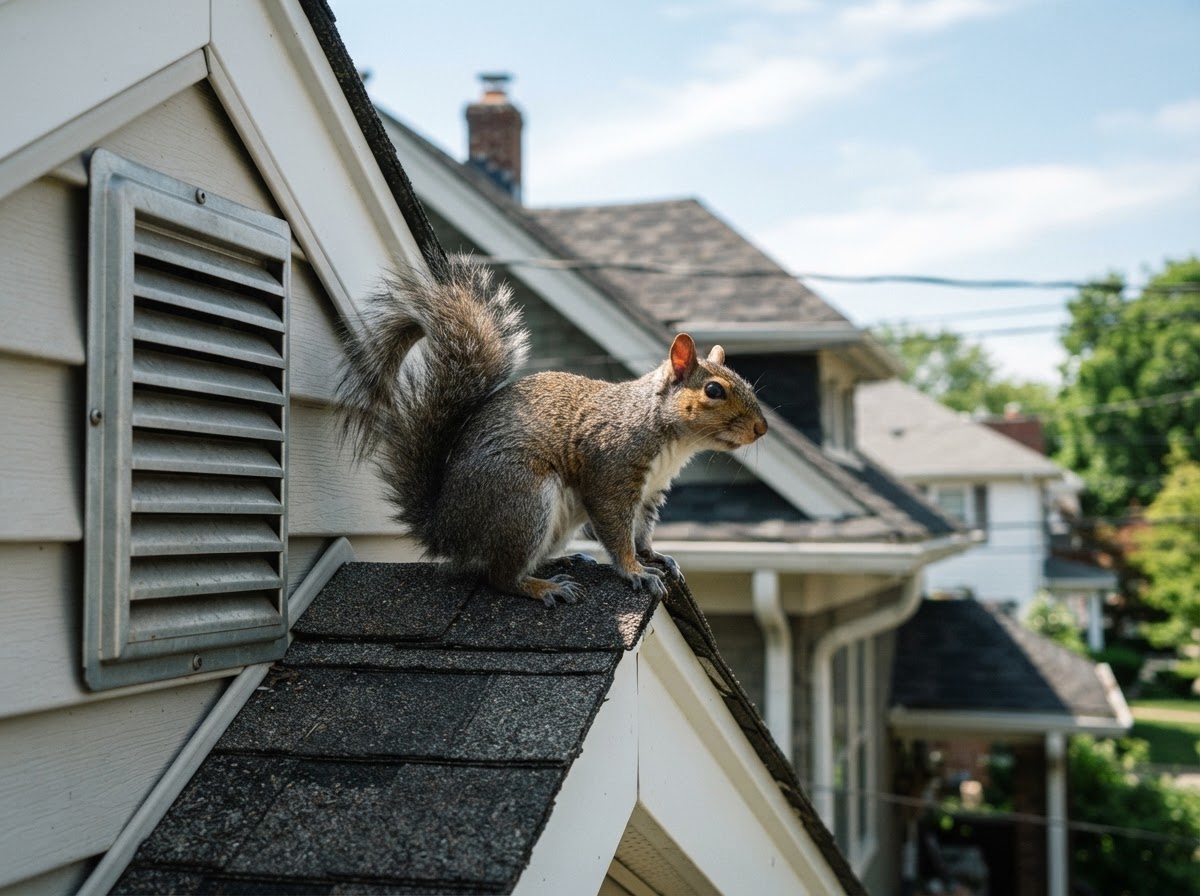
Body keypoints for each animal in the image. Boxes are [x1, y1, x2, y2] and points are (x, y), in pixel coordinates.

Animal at [336, 256, 768, 607]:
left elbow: (641, 532)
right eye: (714, 390)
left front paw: (654, 556)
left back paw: (562, 559)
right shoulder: (611, 472)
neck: (668, 436)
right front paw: (635, 571)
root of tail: (446, 529)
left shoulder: (651, 491)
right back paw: (542, 586)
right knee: (498, 576)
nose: (761, 428)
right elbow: (615, 529)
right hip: (521, 499)